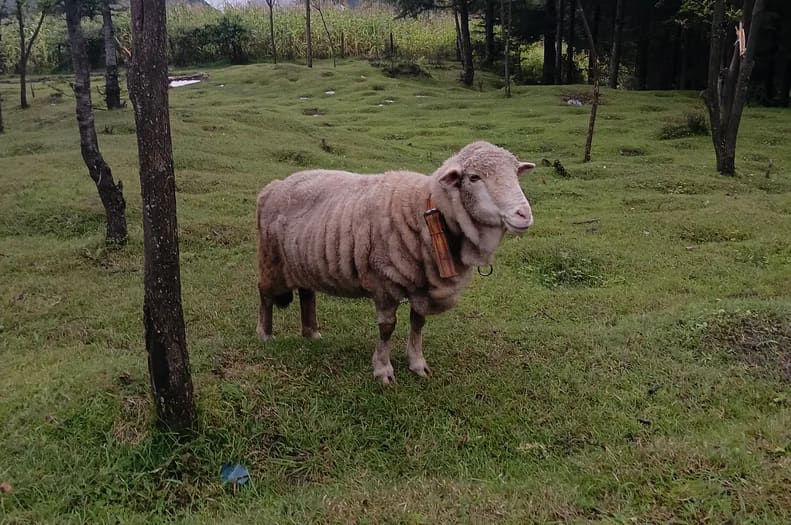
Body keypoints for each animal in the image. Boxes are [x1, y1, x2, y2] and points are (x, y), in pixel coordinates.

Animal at [256, 141, 535, 384]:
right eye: (474, 178)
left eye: (515, 175)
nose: (524, 214)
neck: (425, 208)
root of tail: (273, 187)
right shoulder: (384, 281)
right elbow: (387, 328)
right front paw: (383, 370)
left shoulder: (423, 284)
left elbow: (418, 323)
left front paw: (418, 364)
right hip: (271, 259)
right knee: (265, 294)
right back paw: (265, 335)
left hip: (303, 261)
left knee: (307, 295)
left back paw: (312, 333)